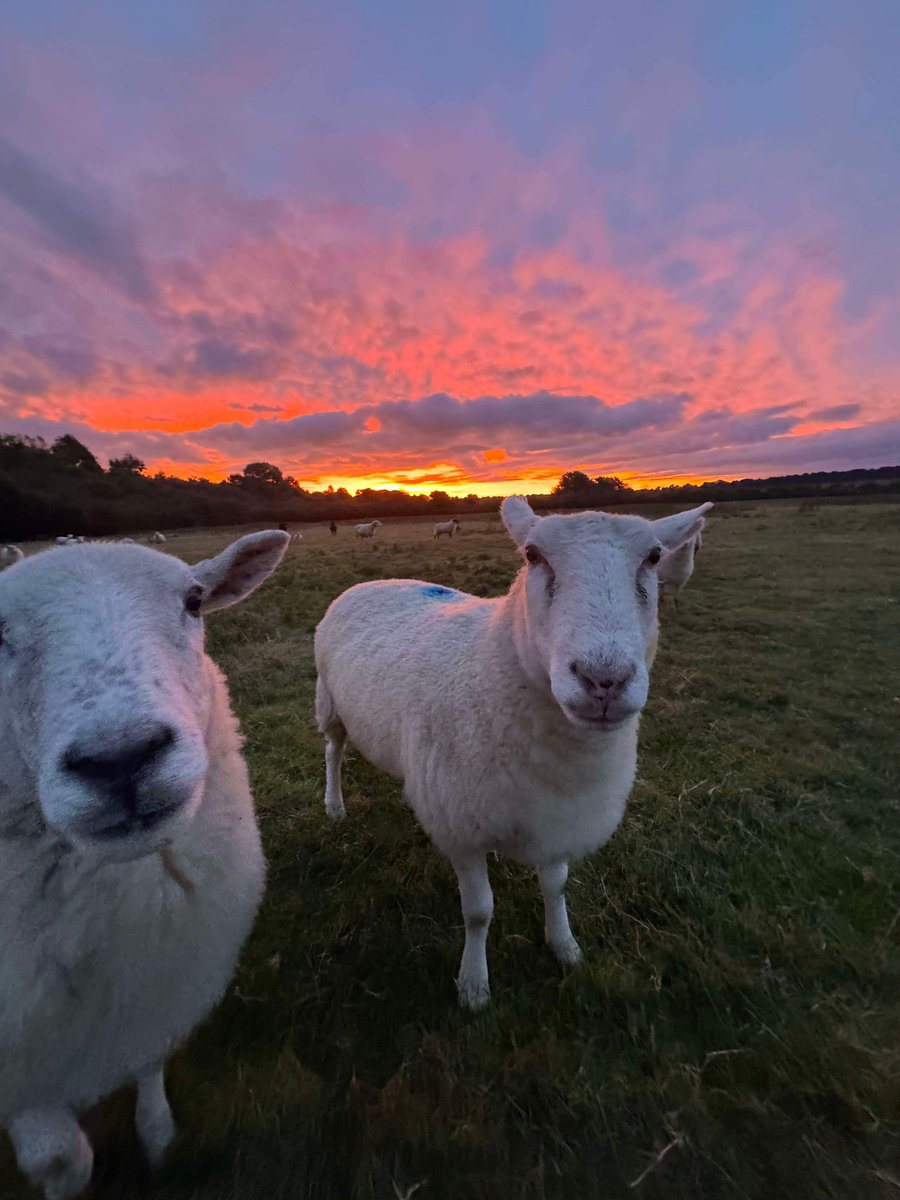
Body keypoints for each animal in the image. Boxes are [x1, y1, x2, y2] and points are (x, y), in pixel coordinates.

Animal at [0, 530, 289, 1199]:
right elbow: (65, 1159)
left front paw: (159, 1137)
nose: (120, 758)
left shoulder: (153, 989)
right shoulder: (24, 1066)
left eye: (194, 601)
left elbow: (150, 1062)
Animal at [315, 497, 712, 1010]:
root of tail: (372, 581)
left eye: (655, 557)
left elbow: (555, 886)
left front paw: (564, 945)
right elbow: (479, 912)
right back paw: (334, 804)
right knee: (333, 750)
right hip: (329, 701)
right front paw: (473, 984)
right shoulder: (462, 827)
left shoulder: (557, 815)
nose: (603, 680)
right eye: (532, 556)